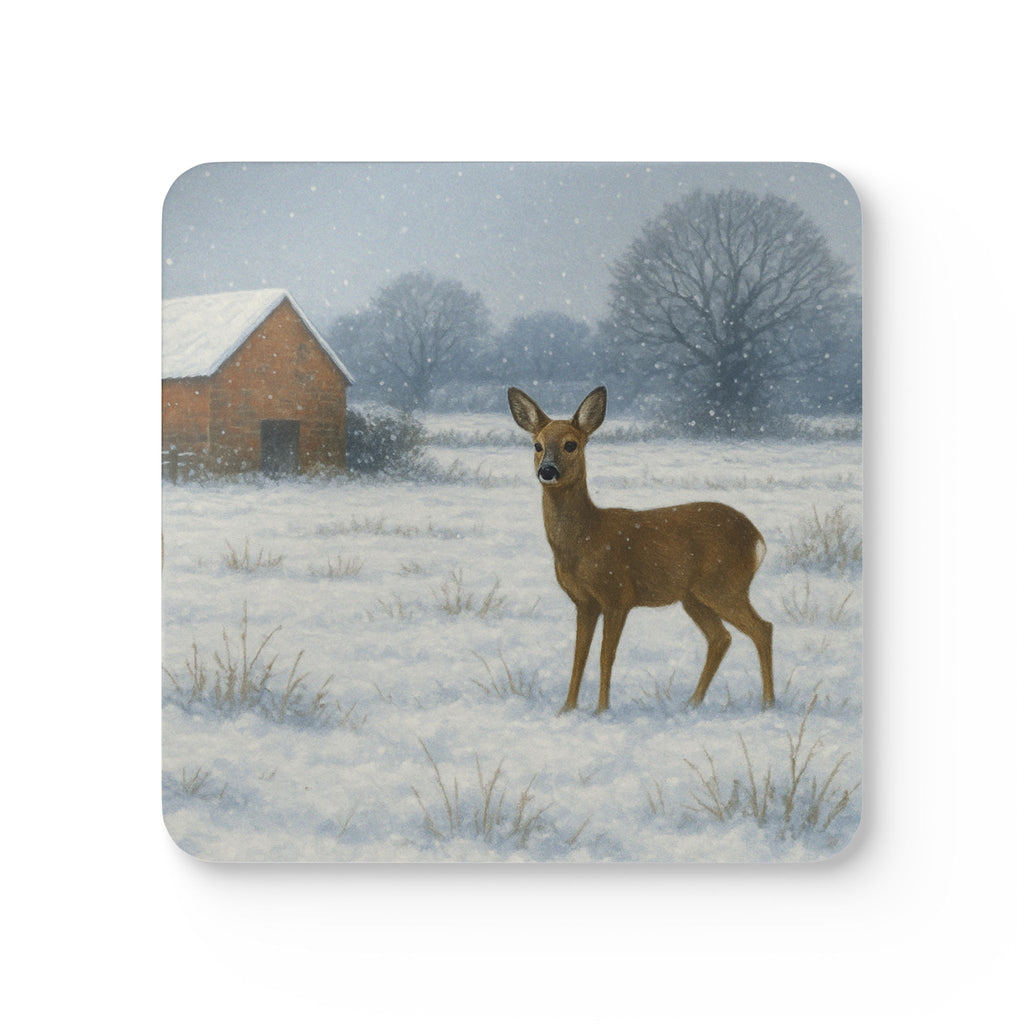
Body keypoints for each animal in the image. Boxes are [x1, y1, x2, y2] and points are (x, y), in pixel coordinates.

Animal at [507, 384, 774, 715]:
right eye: (537, 445)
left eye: (571, 444)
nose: (547, 470)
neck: (586, 536)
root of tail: (758, 539)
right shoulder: (584, 602)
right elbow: (579, 656)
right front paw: (567, 709)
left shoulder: (617, 594)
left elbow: (605, 656)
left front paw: (601, 711)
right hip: (694, 596)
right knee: (721, 637)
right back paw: (692, 703)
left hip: (724, 584)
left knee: (762, 628)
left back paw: (768, 704)